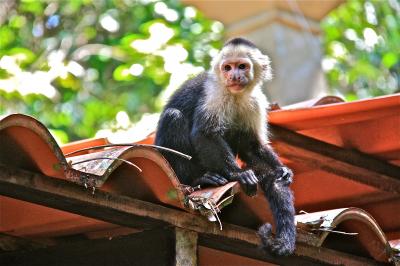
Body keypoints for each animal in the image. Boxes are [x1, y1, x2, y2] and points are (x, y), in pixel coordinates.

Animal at [155, 37, 296, 256]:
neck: (234, 94)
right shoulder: (214, 92)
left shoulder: (256, 101)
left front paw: (282, 170)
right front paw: (239, 174)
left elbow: (252, 146)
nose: (234, 75)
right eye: (227, 67)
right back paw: (198, 180)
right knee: (174, 117)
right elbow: (205, 133)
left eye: (242, 66)